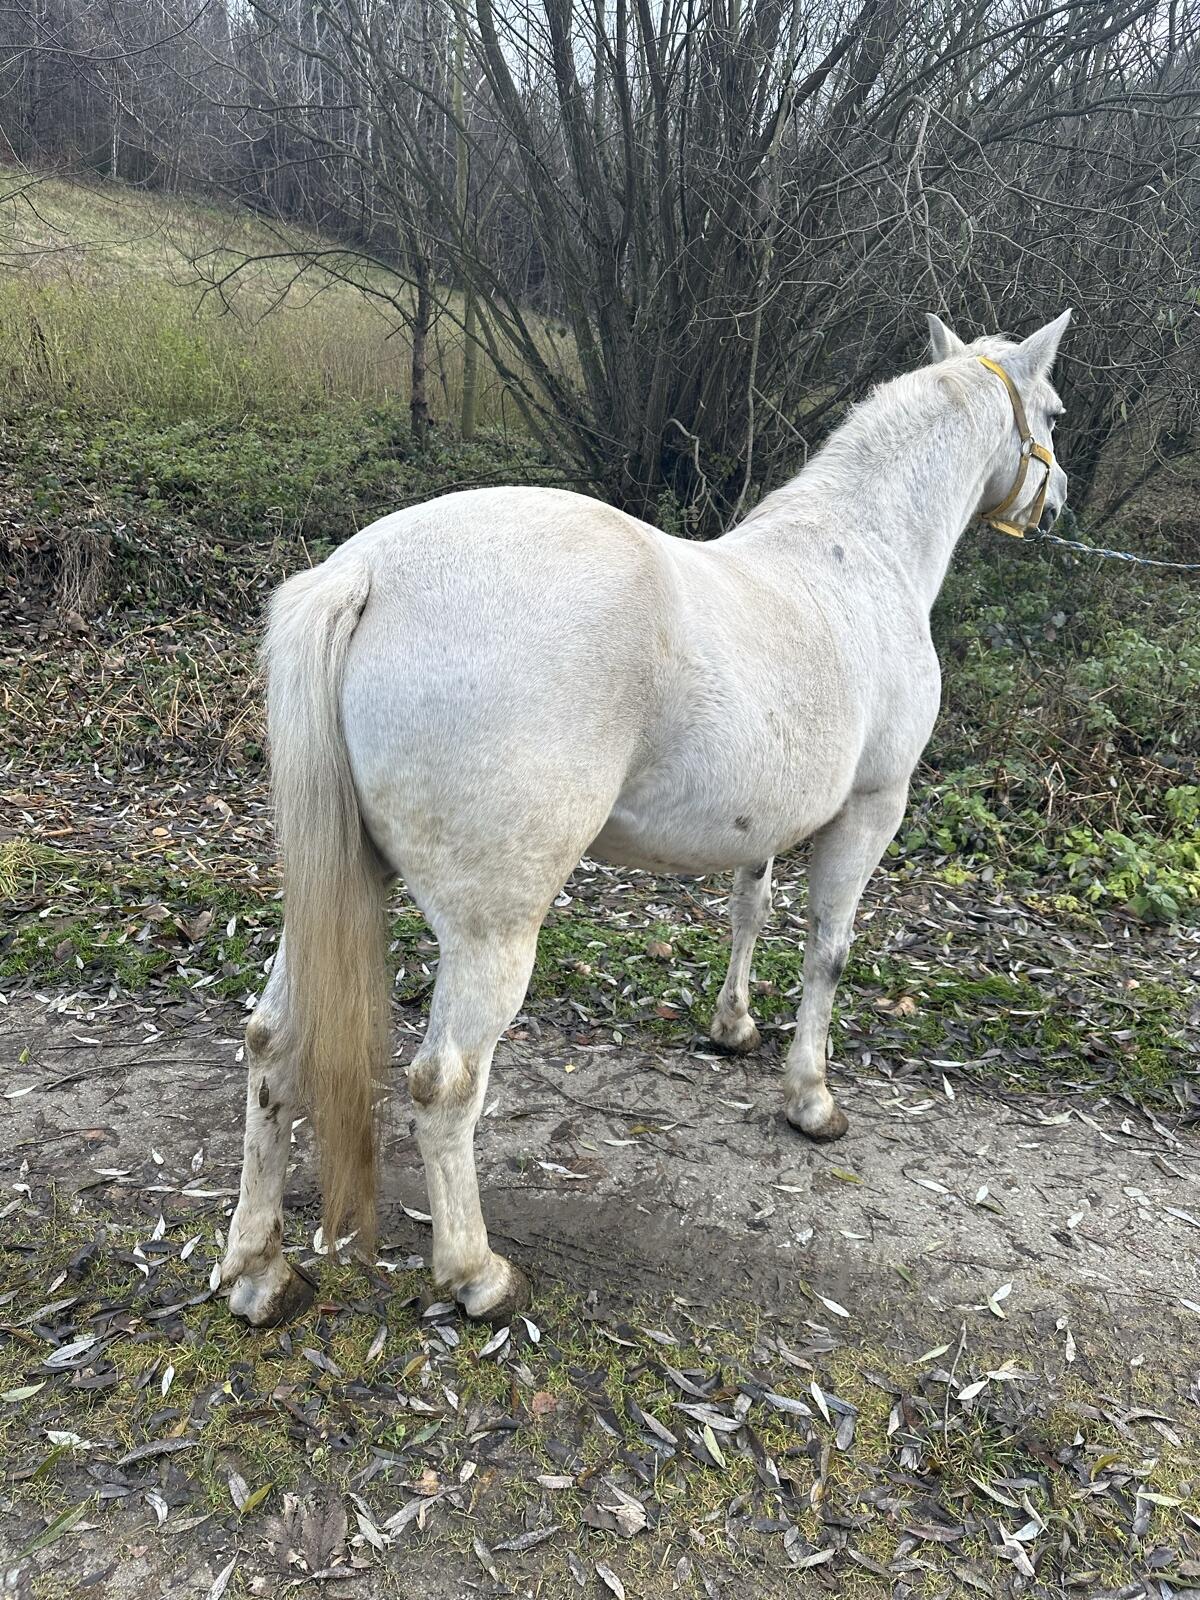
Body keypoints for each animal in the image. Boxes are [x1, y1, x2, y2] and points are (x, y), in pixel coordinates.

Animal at [219, 309, 1070, 1327]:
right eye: (1055, 413)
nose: (1059, 502)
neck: (859, 558)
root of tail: (366, 574)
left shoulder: (764, 824)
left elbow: (751, 912)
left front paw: (734, 1028)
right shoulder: (871, 809)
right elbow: (827, 952)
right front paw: (811, 1100)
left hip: (335, 884)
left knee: (274, 1043)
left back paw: (257, 1270)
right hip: (492, 930)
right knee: (446, 1084)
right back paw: (475, 1274)